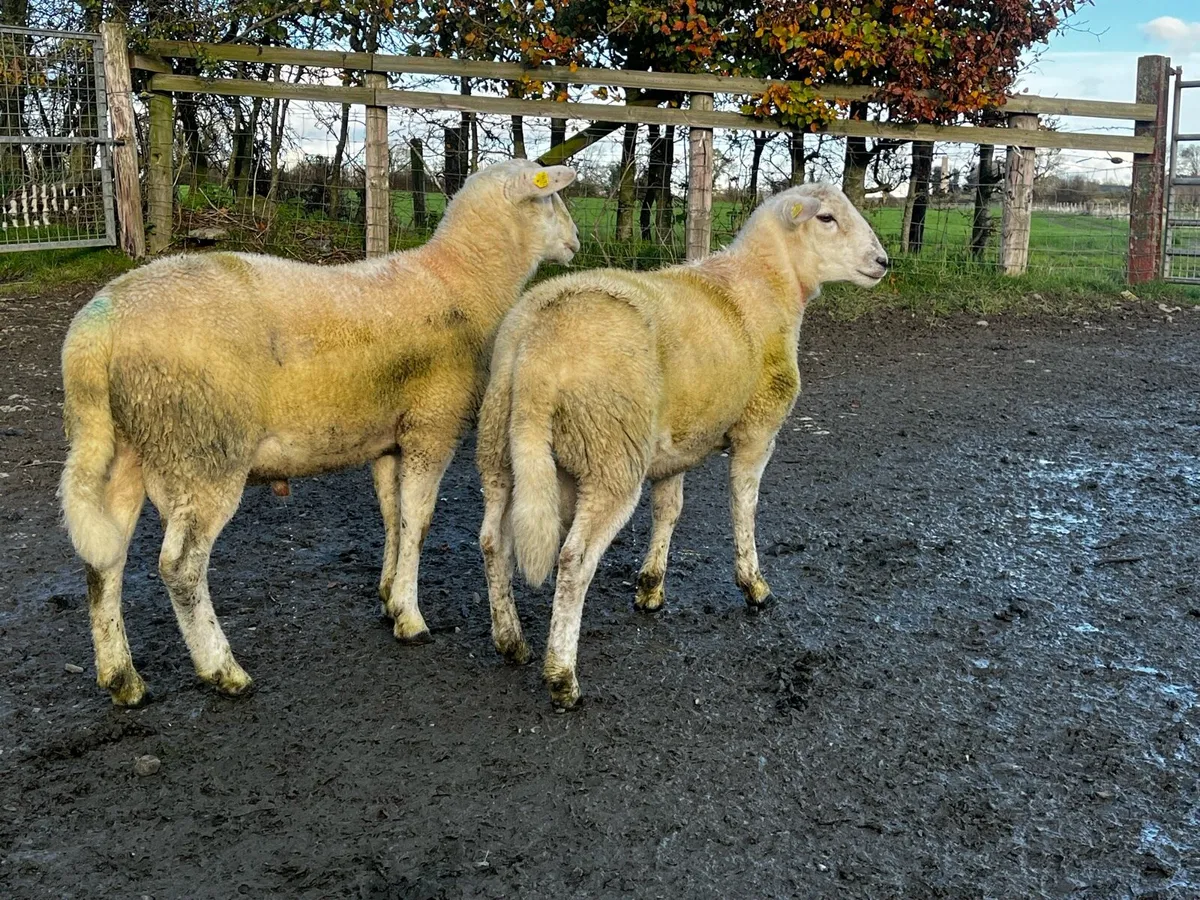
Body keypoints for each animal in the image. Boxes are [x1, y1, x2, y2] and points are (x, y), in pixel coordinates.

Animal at [59, 158, 579, 707]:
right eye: (549, 198)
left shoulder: (389, 439)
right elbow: (418, 521)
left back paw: (122, 677)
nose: (575, 241)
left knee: (104, 558)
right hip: (204, 448)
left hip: (128, 445)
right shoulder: (431, 425)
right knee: (180, 567)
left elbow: (392, 517)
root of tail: (98, 327)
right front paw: (411, 617)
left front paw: (388, 598)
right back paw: (222, 669)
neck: (464, 281)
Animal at [476, 182, 888, 708]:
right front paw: (754, 585)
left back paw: (511, 641)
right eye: (826, 218)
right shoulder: (757, 428)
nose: (882, 262)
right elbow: (744, 505)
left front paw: (650, 588)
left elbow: (669, 511)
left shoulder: (674, 447)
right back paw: (562, 676)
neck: (765, 284)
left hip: (500, 447)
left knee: (493, 542)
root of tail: (536, 353)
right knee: (573, 560)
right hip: (611, 452)